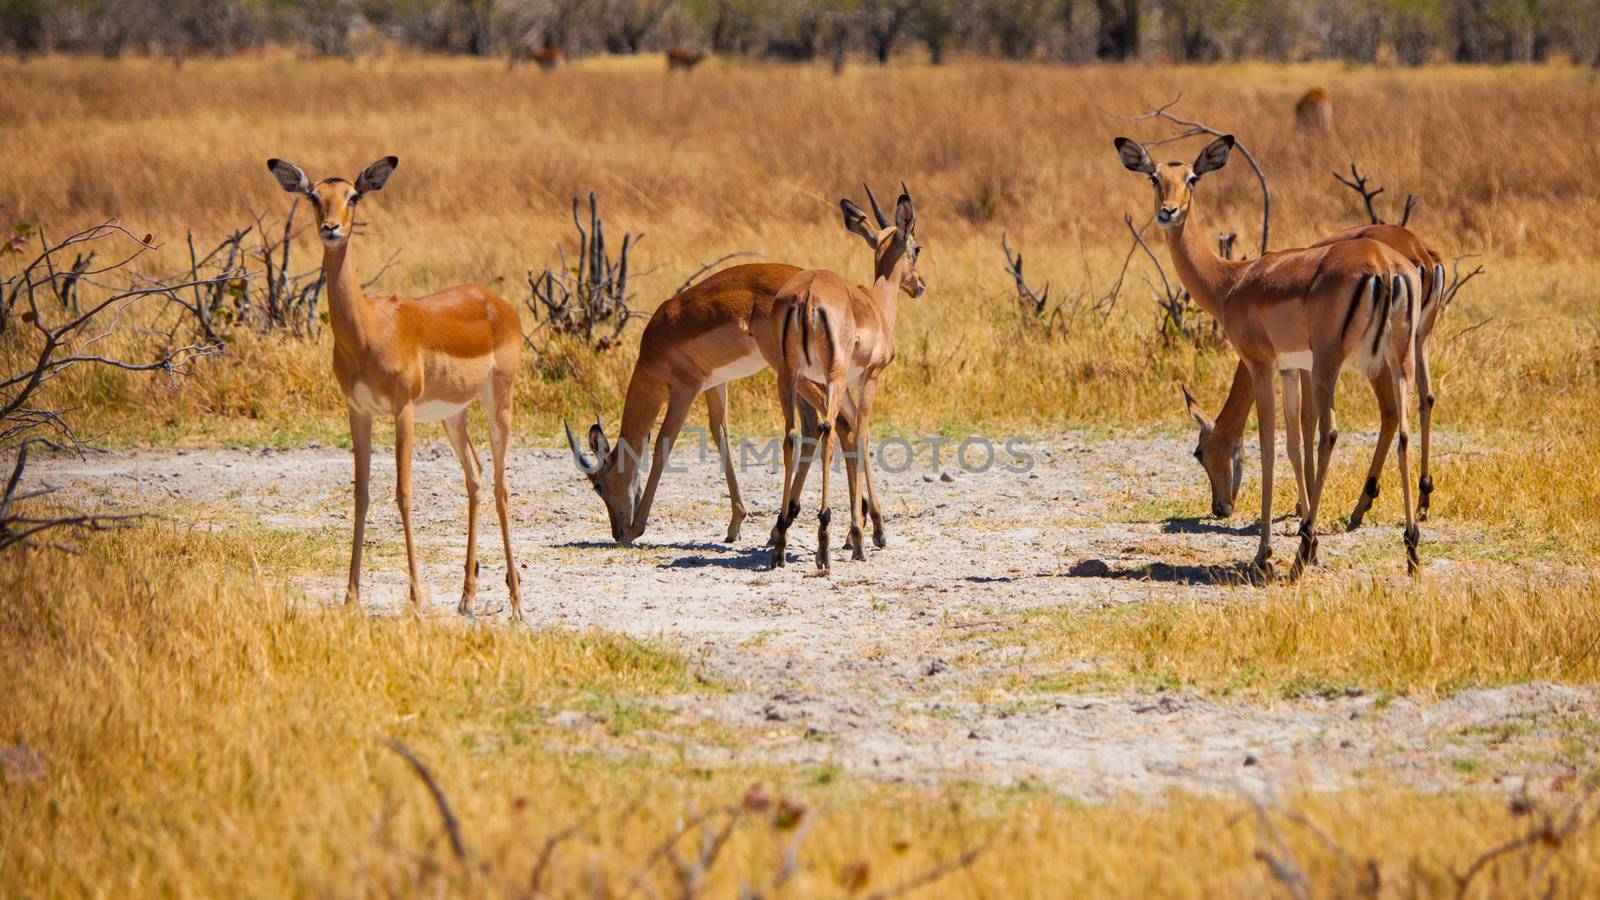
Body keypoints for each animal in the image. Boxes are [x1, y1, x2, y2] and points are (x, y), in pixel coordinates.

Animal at [265, 156, 521, 614]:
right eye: (314, 196)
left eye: (353, 196)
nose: (331, 228)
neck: (370, 330)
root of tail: (497, 304)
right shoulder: (359, 412)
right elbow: (362, 494)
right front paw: (350, 597)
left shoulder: (402, 411)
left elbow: (403, 494)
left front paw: (416, 598)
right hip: (453, 415)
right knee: (475, 476)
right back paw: (466, 599)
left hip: (498, 402)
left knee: (500, 485)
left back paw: (516, 603)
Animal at [771, 185, 928, 570]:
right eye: (917, 247)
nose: (919, 285)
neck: (875, 307)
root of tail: (808, 293)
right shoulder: (868, 378)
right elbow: (861, 436)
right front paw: (867, 534)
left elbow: (851, 436)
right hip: (834, 376)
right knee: (827, 431)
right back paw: (824, 541)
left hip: (790, 378)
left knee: (793, 435)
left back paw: (780, 542)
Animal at [1113, 136, 1427, 576]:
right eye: (1155, 178)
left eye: (1192, 178)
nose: (1168, 212)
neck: (1232, 281)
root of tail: (1386, 264)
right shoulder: (1291, 369)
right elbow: (1294, 445)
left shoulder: (1261, 365)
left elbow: (1270, 448)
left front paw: (1266, 553)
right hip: (1397, 362)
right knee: (1402, 429)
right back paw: (1411, 550)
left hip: (1332, 366)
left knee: (1331, 433)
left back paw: (1303, 551)